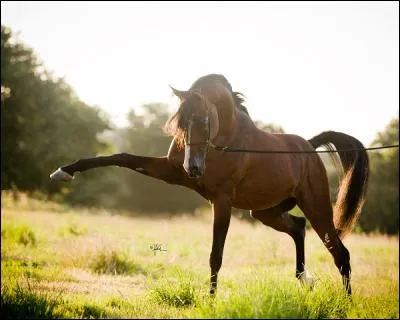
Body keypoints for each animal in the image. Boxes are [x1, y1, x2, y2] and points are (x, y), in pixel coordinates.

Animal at [49, 73, 368, 296]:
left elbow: (216, 255)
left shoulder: (221, 201)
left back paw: (345, 303)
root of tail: (310, 148)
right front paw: (65, 171)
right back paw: (304, 279)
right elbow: (122, 157)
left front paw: (211, 299)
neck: (227, 141)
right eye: (181, 122)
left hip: (316, 207)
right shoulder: (170, 172)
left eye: (204, 120)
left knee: (340, 253)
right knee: (298, 228)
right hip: (264, 212)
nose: (193, 167)